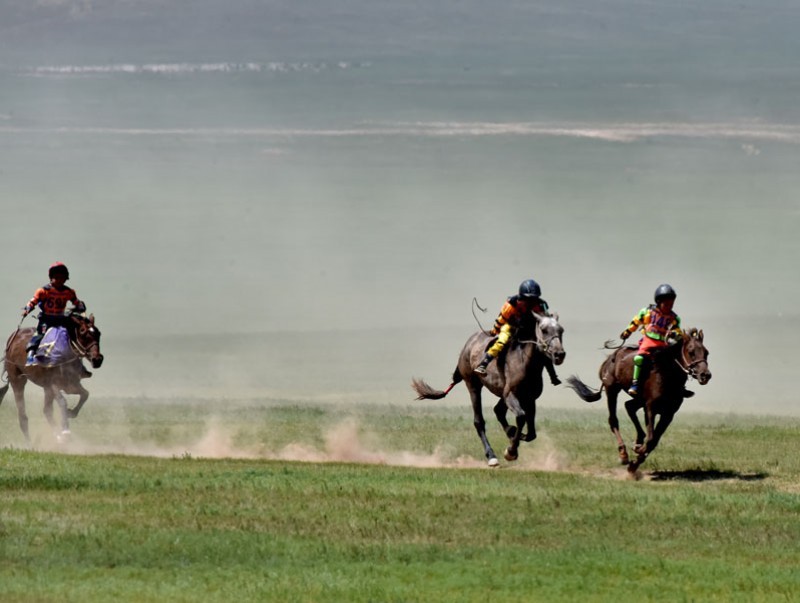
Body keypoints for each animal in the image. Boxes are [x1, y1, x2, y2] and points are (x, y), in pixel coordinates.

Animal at [0, 314, 104, 446]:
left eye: (98, 333)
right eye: (83, 332)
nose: (97, 359)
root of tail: (13, 339)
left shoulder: (71, 385)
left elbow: (85, 394)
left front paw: (71, 413)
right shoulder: (53, 384)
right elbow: (63, 402)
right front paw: (66, 432)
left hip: (45, 388)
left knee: (47, 410)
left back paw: (57, 436)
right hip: (17, 380)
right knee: (23, 414)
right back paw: (30, 442)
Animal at [410, 314, 564, 470]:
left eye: (561, 330)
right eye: (544, 330)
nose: (559, 354)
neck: (525, 361)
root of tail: (468, 343)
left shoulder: (529, 398)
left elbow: (531, 432)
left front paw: (514, 436)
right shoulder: (511, 395)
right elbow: (521, 417)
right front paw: (511, 451)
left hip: (501, 393)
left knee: (498, 410)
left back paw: (510, 432)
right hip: (473, 385)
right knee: (479, 421)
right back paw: (492, 456)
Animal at [564, 328, 708, 474]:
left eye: (706, 353)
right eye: (691, 352)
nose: (705, 375)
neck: (667, 375)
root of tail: (611, 357)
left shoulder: (669, 413)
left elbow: (654, 440)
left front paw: (635, 461)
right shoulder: (650, 408)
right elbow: (651, 438)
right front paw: (635, 456)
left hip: (638, 399)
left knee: (629, 406)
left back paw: (638, 440)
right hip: (612, 390)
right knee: (613, 420)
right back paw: (623, 454)